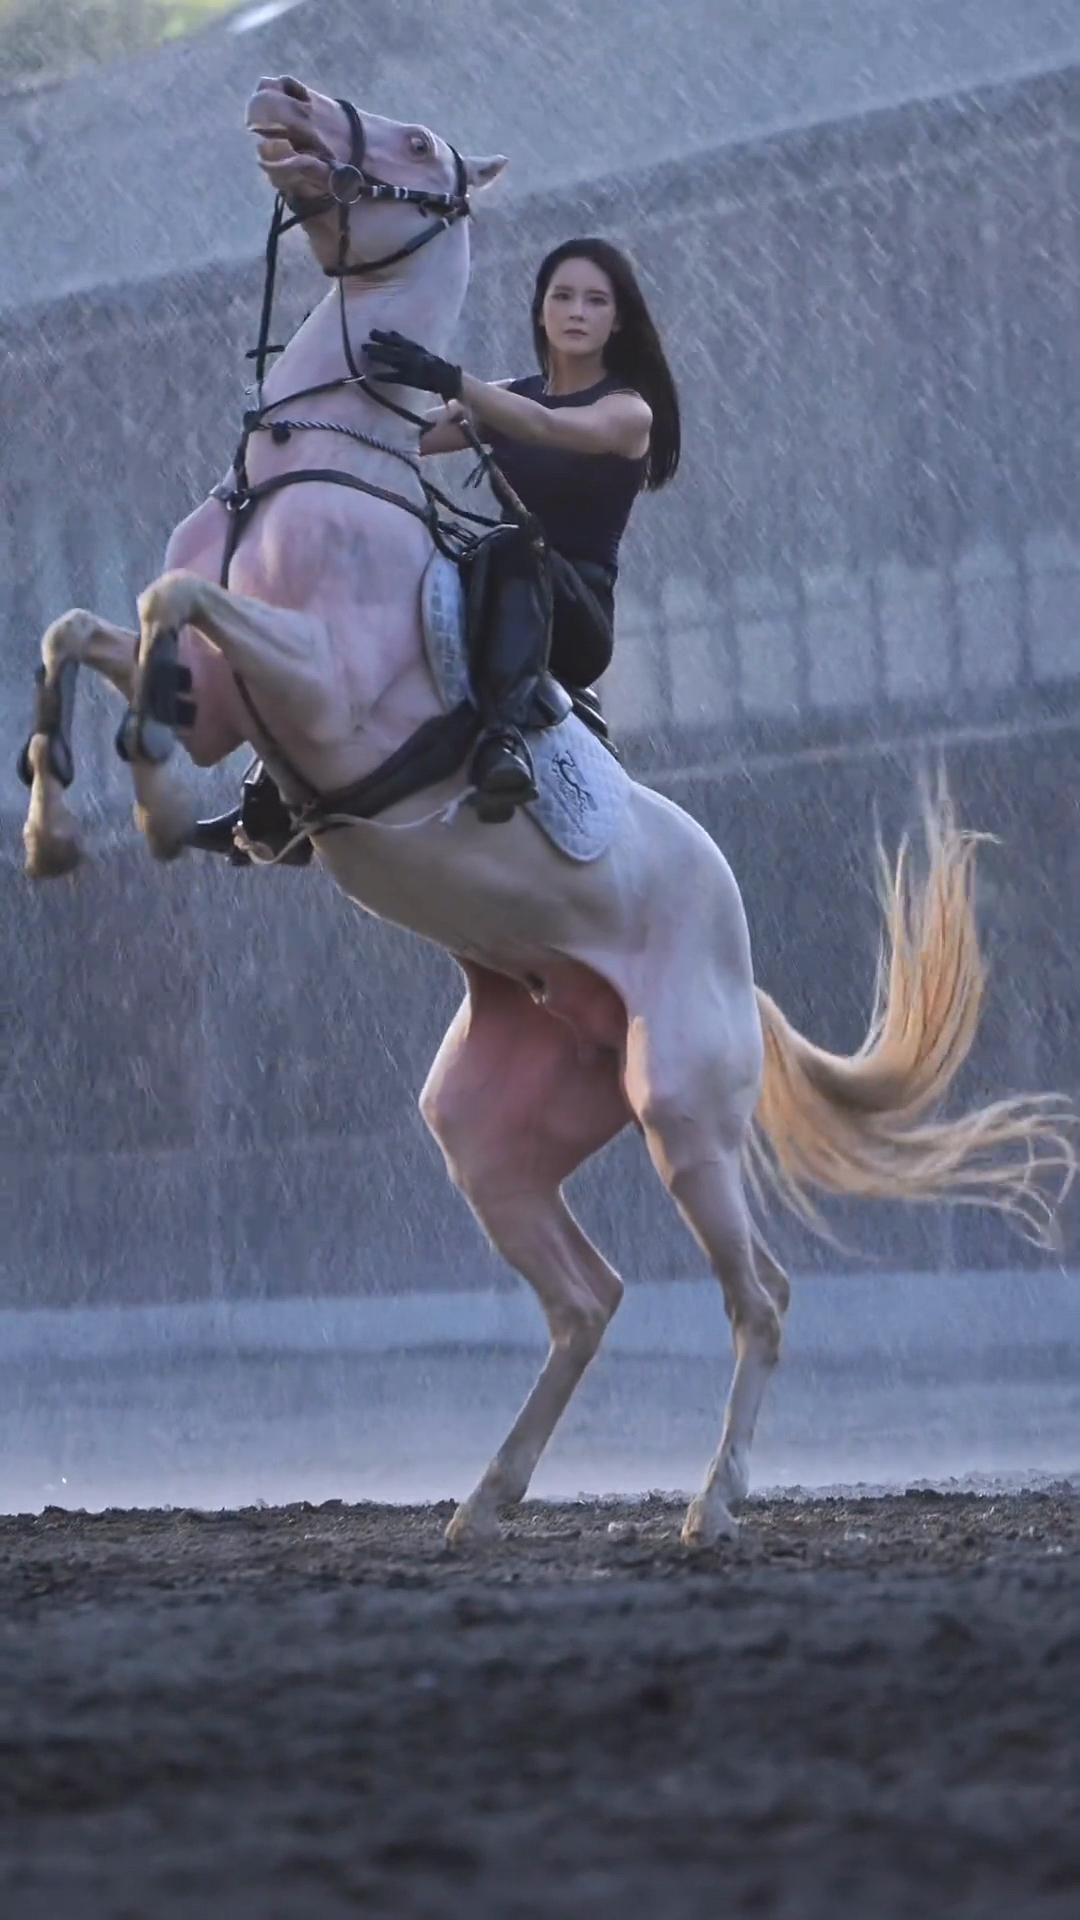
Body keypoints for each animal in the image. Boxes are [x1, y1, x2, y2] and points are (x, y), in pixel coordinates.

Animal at [19, 76, 1075, 1548]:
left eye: (410, 141)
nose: (283, 96)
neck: (309, 466)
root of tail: (734, 960)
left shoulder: (320, 691)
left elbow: (173, 605)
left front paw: (157, 798)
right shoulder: (237, 704)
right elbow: (88, 625)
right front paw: (68, 823)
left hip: (682, 1110)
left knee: (760, 1298)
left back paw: (710, 1507)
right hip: (493, 1130)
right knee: (588, 1296)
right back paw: (483, 1502)